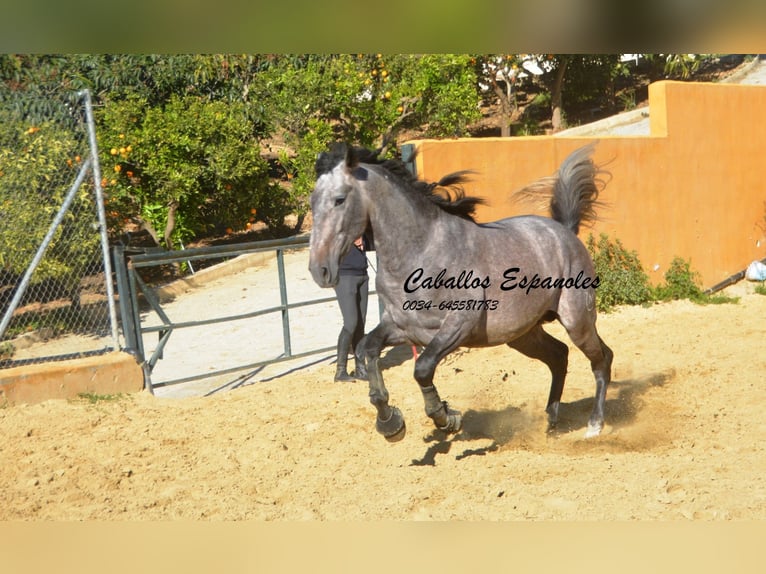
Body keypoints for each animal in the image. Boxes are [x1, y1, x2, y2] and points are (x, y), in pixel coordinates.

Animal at [308, 142, 616, 444]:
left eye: (339, 199)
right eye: (312, 201)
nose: (319, 270)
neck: (422, 252)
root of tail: (565, 232)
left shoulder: (458, 326)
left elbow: (422, 369)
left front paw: (445, 417)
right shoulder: (402, 328)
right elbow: (367, 350)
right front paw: (390, 423)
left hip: (576, 319)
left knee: (602, 358)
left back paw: (594, 425)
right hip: (522, 334)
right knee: (560, 355)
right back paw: (549, 422)